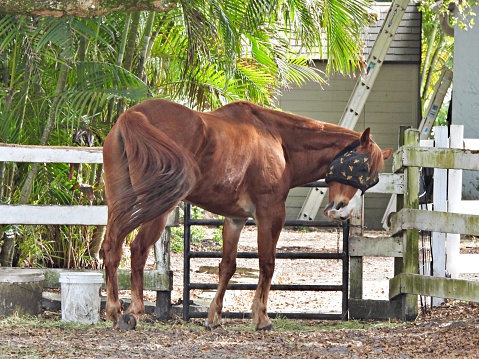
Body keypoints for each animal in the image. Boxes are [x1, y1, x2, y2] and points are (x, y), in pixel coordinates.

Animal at [102, 98, 394, 332]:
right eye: (359, 165)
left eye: (372, 179)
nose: (341, 210)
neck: (278, 140)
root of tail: (134, 115)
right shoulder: (270, 214)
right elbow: (267, 263)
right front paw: (261, 317)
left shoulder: (235, 219)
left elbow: (227, 266)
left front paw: (214, 316)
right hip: (158, 209)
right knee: (137, 250)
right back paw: (134, 311)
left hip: (120, 204)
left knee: (112, 248)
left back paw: (115, 310)